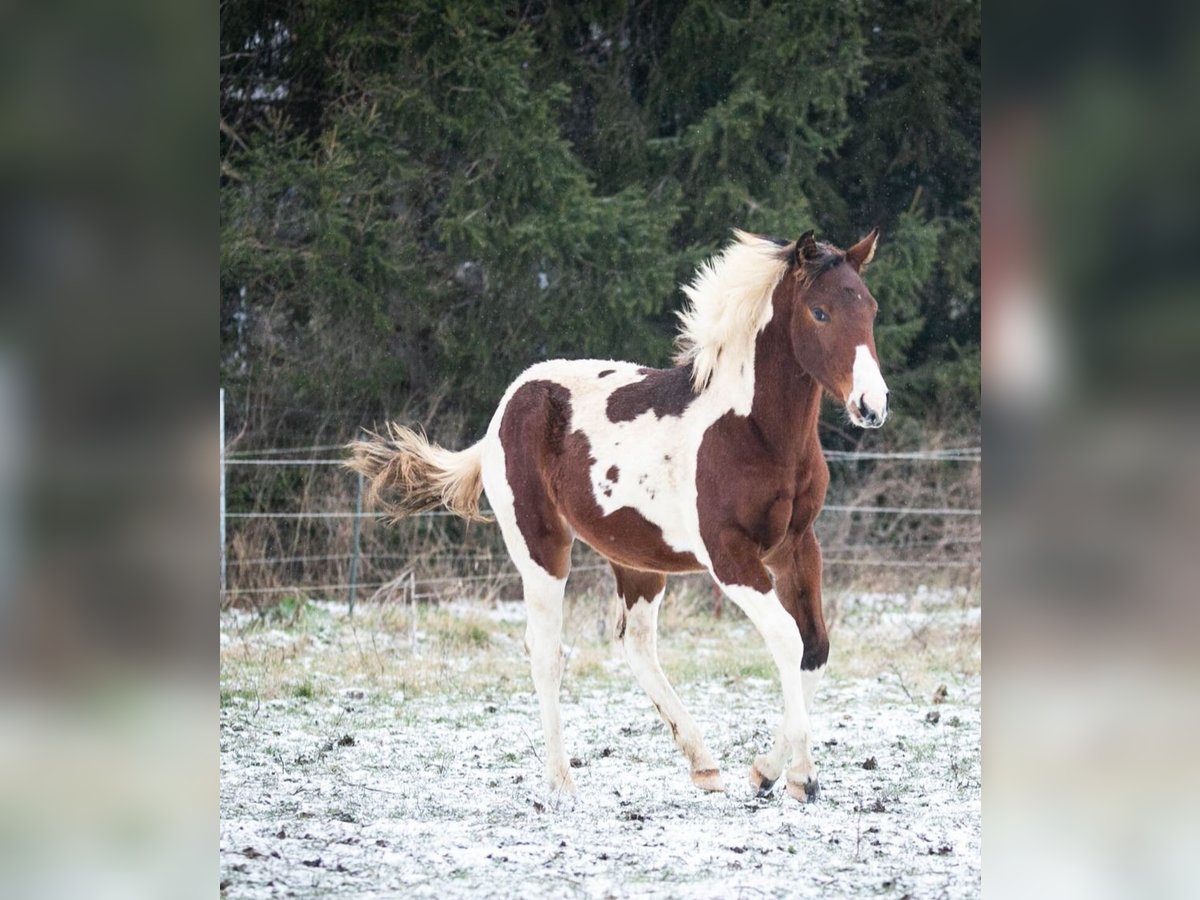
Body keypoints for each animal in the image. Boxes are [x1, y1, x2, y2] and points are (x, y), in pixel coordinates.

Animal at [348, 226, 892, 801]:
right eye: (820, 312)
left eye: (870, 307)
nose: (872, 405)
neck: (754, 432)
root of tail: (503, 411)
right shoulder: (729, 557)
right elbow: (788, 638)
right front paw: (802, 777)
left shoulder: (798, 546)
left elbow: (815, 647)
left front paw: (767, 770)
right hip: (540, 549)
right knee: (546, 652)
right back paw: (561, 780)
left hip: (639, 560)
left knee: (636, 644)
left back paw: (703, 764)